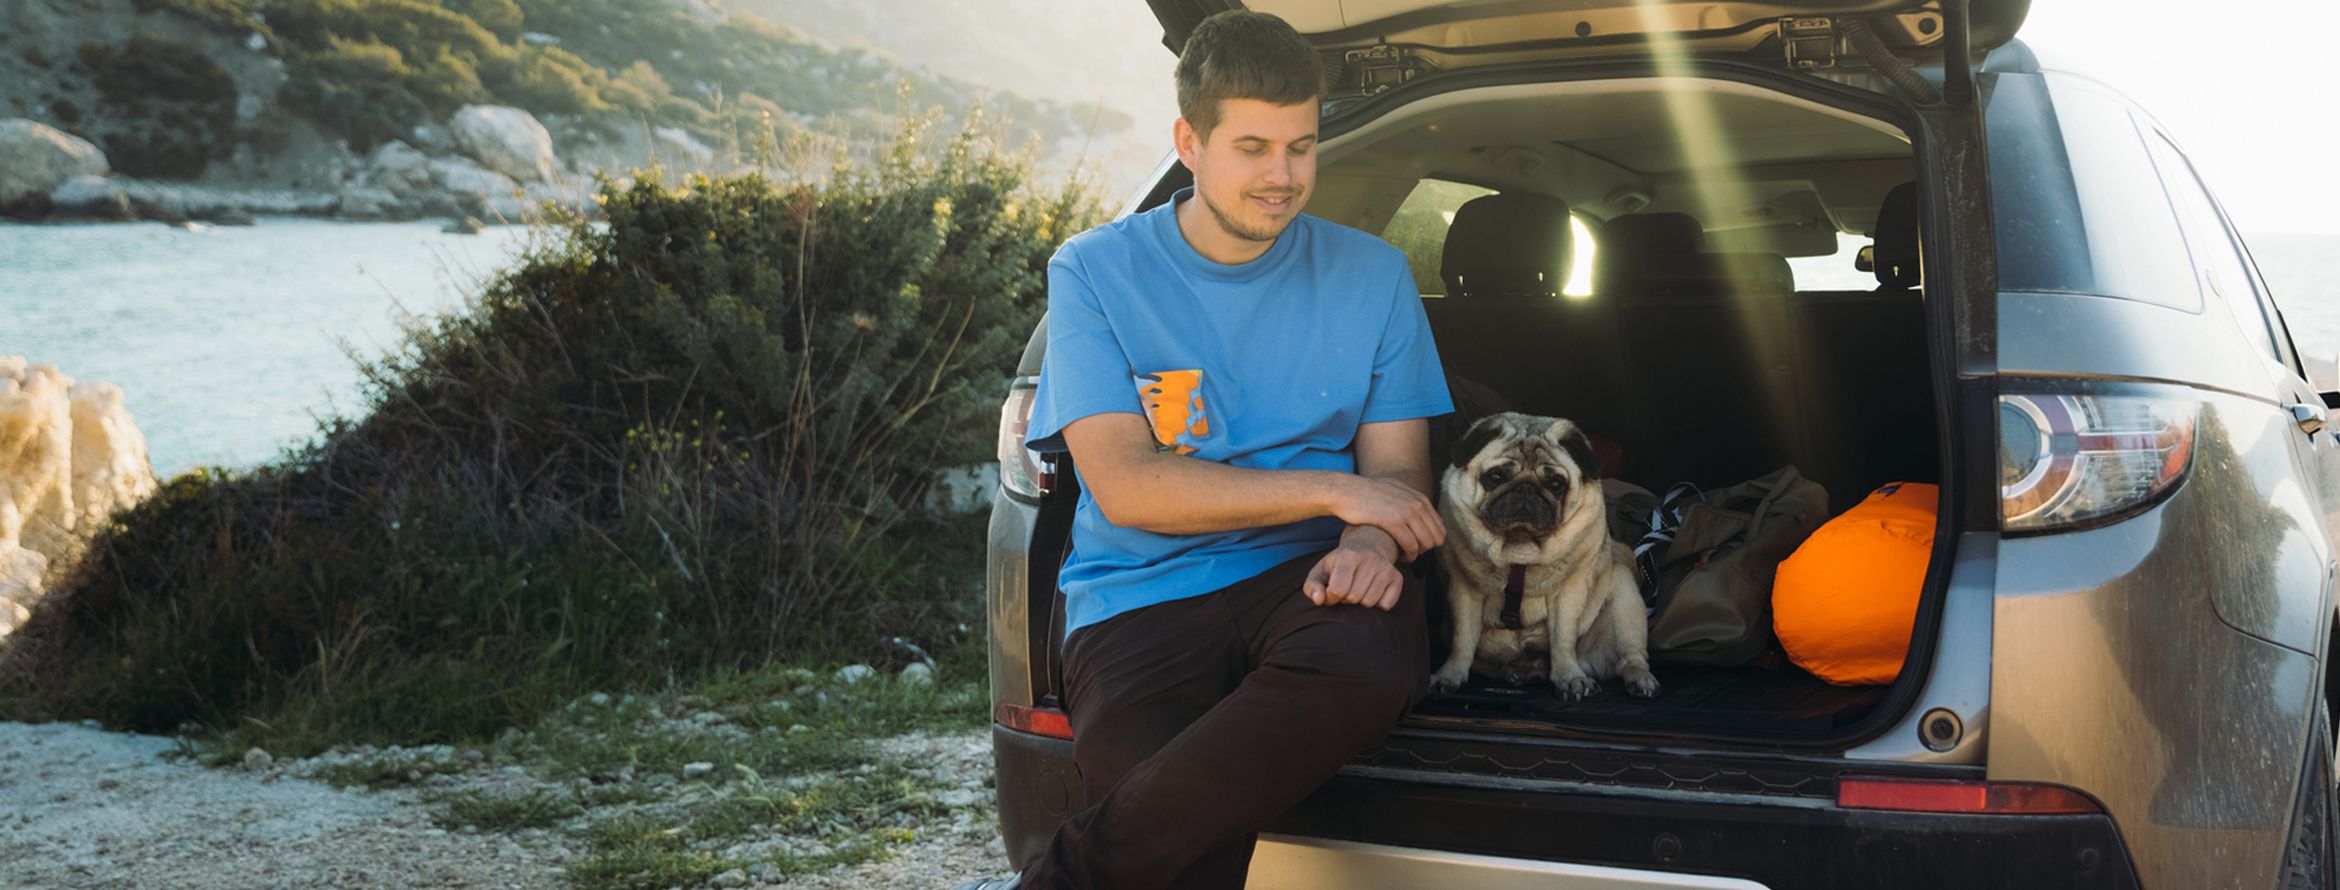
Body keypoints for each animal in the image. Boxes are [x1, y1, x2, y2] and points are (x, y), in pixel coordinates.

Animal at [1422, 412, 1666, 702]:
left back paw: (1639, 678)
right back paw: (1518, 671)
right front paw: (1449, 675)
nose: (1526, 489)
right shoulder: (1465, 592)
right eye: (1496, 476)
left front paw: (1569, 678)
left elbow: (1562, 640)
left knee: (1630, 657)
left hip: (1624, 593)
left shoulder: (1567, 595)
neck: (1519, 549)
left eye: (1555, 484)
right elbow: (1462, 642)